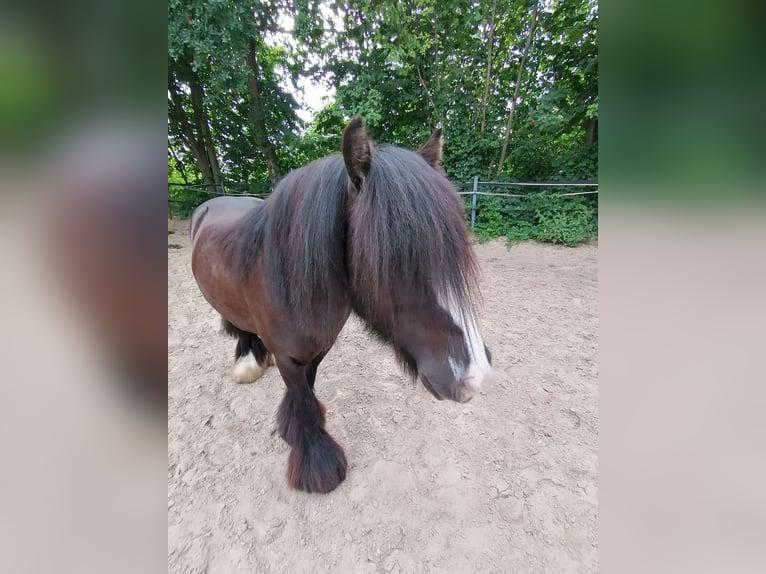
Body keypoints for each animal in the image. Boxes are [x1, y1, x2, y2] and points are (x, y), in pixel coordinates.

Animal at [189, 118, 496, 496]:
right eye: (391, 259)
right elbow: (304, 401)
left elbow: (308, 390)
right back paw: (248, 361)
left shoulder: (318, 349)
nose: (474, 374)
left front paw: (291, 426)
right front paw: (317, 465)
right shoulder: (288, 356)